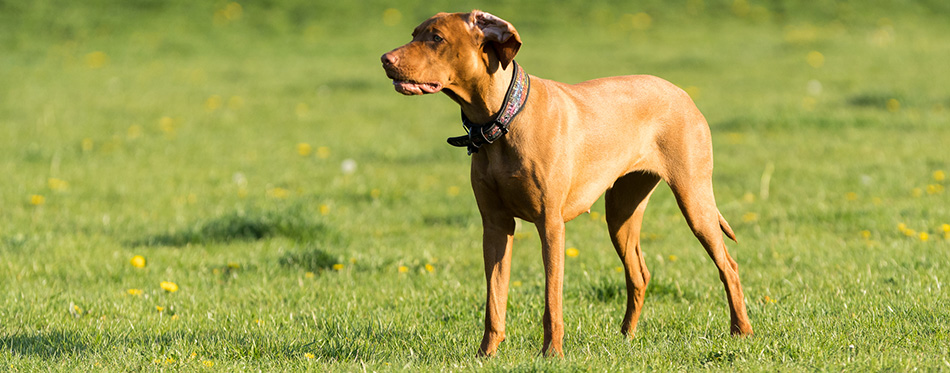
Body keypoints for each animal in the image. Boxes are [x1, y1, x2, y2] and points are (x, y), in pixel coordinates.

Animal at [384, 10, 756, 356]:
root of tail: (681, 92)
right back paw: (626, 336)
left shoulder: (550, 224)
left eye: (436, 38)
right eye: (414, 34)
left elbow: (552, 299)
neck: (504, 119)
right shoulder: (495, 226)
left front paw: (552, 353)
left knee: (729, 265)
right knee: (639, 274)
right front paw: (485, 355)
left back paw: (742, 331)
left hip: (694, 199)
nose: (385, 59)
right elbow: (494, 300)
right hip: (620, 215)